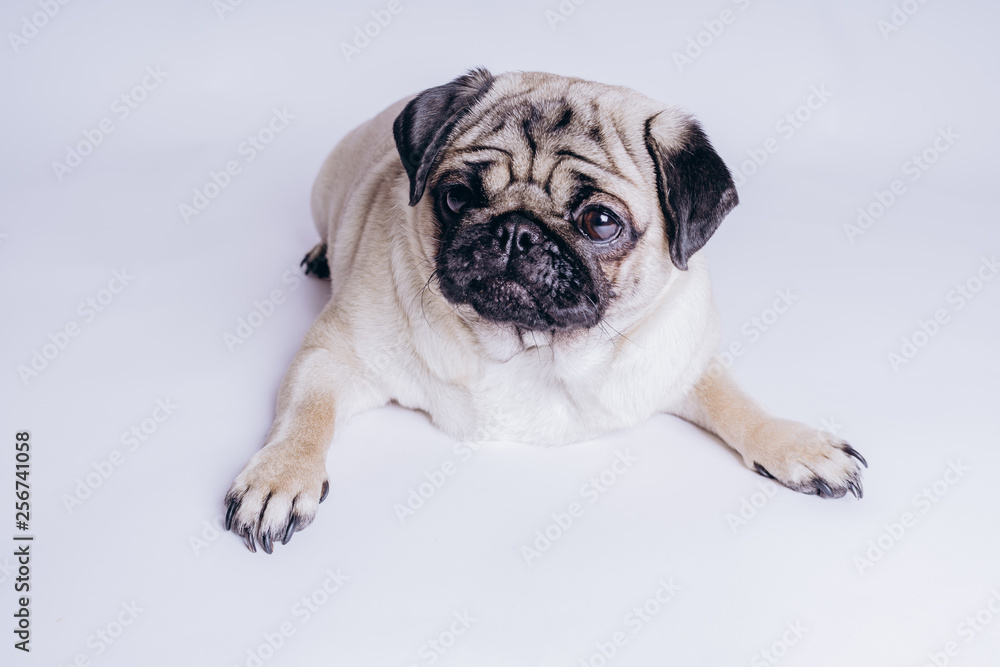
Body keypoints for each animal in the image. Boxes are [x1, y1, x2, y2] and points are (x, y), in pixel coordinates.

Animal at [223, 70, 864, 556]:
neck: (530, 348)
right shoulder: (335, 354)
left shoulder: (681, 357)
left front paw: (794, 445)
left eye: (600, 222)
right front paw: (281, 475)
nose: (516, 232)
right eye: (457, 197)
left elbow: (737, 402)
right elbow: (306, 414)